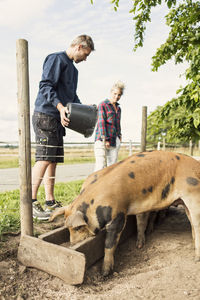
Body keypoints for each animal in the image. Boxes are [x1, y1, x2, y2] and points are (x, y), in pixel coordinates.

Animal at [49, 151, 200, 276]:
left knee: (196, 224)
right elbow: (140, 222)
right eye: (67, 228)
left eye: (78, 228)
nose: (71, 243)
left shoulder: (118, 215)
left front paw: (105, 274)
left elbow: (110, 244)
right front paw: (139, 246)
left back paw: (196, 259)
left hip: (193, 194)